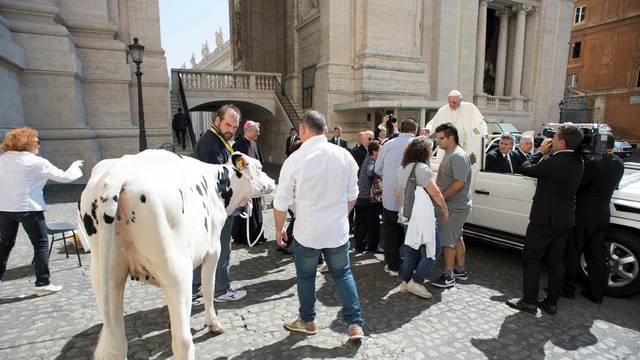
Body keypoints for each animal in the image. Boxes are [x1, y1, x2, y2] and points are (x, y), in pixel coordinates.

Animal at [78, 150, 276, 360]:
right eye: (260, 167)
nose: (273, 181)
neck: (219, 184)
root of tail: (120, 172)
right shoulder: (213, 250)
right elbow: (209, 287)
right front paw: (212, 322)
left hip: (106, 276)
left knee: (117, 342)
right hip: (177, 273)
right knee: (182, 341)